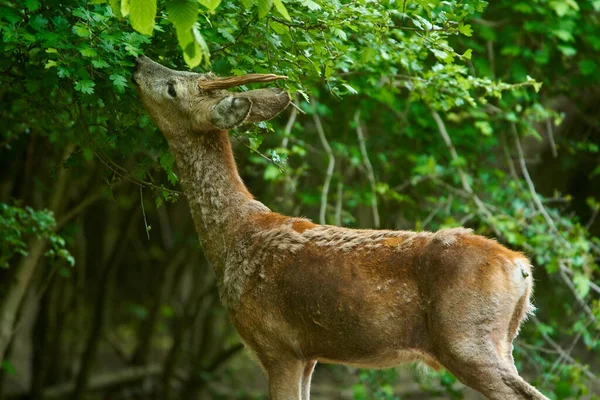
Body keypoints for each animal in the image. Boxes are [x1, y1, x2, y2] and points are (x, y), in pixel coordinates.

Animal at [134, 54, 552, 400]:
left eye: (172, 88)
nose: (139, 62)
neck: (235, 236)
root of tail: (521, 267)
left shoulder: (278, 345)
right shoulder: (309, 354)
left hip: (466, 337)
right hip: (502, 339)